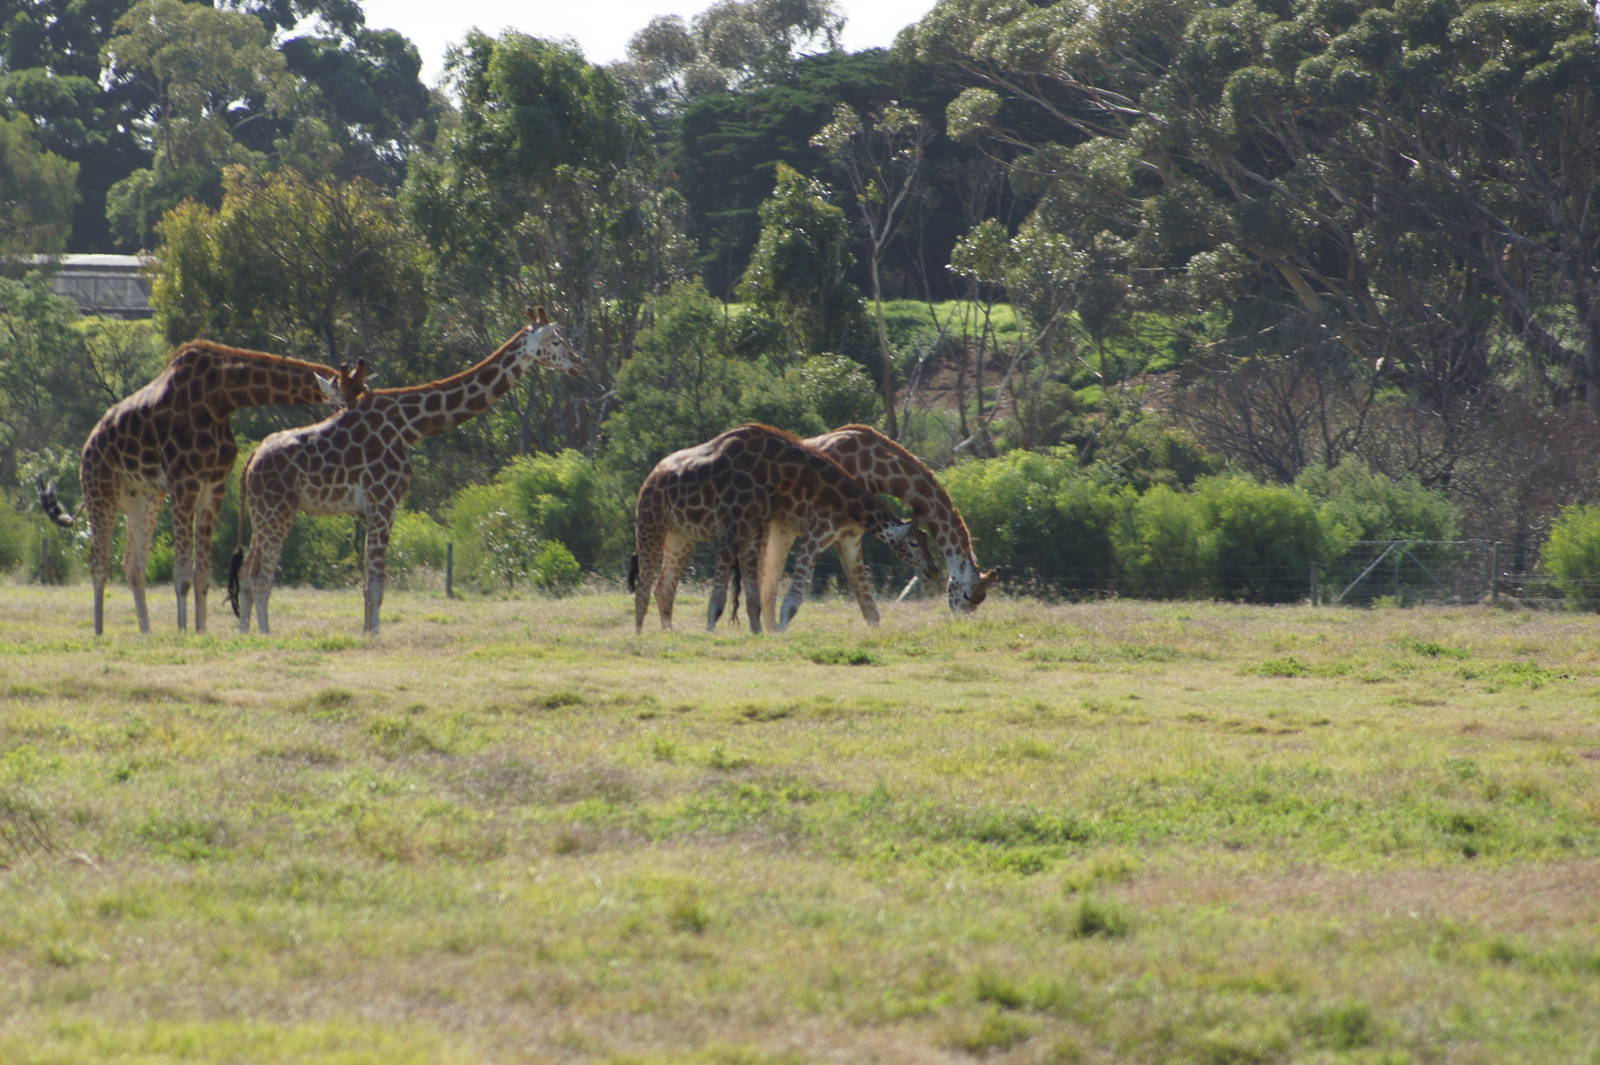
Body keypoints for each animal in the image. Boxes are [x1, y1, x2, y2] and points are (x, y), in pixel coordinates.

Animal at [37, 341, 343, 635]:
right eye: (344, 398)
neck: (221, 398)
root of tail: (88, 444)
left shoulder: (213, 486)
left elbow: (202, 574)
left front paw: (200, 630)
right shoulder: (184, 483)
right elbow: (182, 575)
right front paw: (183, 630)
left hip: (144, 499)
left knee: (133, 564)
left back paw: (146, 631)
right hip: (100, 491)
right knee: (98, 561)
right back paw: (99, 631)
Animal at [228, 308, 581, 636]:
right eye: (556, 341)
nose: (577, 363)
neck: (411, 426)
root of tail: (250, 461)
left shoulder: (372, 509)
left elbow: (367, 582)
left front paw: (366, 632)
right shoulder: (384, 502)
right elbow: (376, 585)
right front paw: (373, 636)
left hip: (263, 512)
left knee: (245, 571)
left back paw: (246, 633)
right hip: (277, 511)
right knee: (259, 574)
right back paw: (265, 634)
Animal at [629, 423, 940, 634]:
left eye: (926, 541)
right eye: (913, 543)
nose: (934, 569)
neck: (775, 464)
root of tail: (651, 476)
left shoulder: (753, 527)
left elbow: (753, 596)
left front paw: (756, 634)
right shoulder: (731, 526)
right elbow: (718, 598)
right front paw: (711, 633)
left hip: (680, 535)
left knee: (663, 587)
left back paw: (667, 633)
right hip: (650, 523)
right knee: (644, 585)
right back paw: (640, 635)